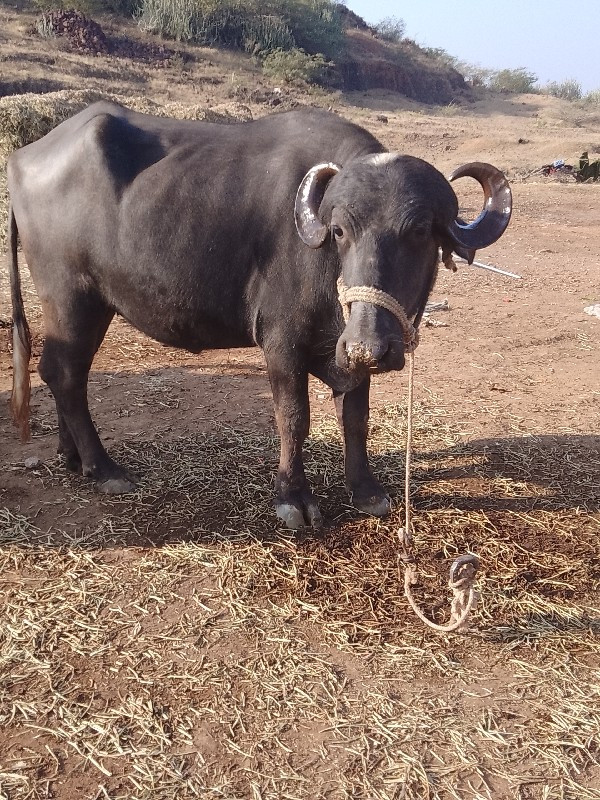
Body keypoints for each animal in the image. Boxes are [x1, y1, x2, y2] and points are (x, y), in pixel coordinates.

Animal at [7, 103, 508, 528]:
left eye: (420, 231)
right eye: (340, 230)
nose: (369, 344)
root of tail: (22, 157)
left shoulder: (347, 350)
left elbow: (356, 416)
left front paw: (365, 489)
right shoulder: (282, 343)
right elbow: (294, 417)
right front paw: (293, 497)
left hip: (94, 306)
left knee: (63, 371)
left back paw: (72, 456)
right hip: (70, 297)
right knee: (65, 372)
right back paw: (103, 467)